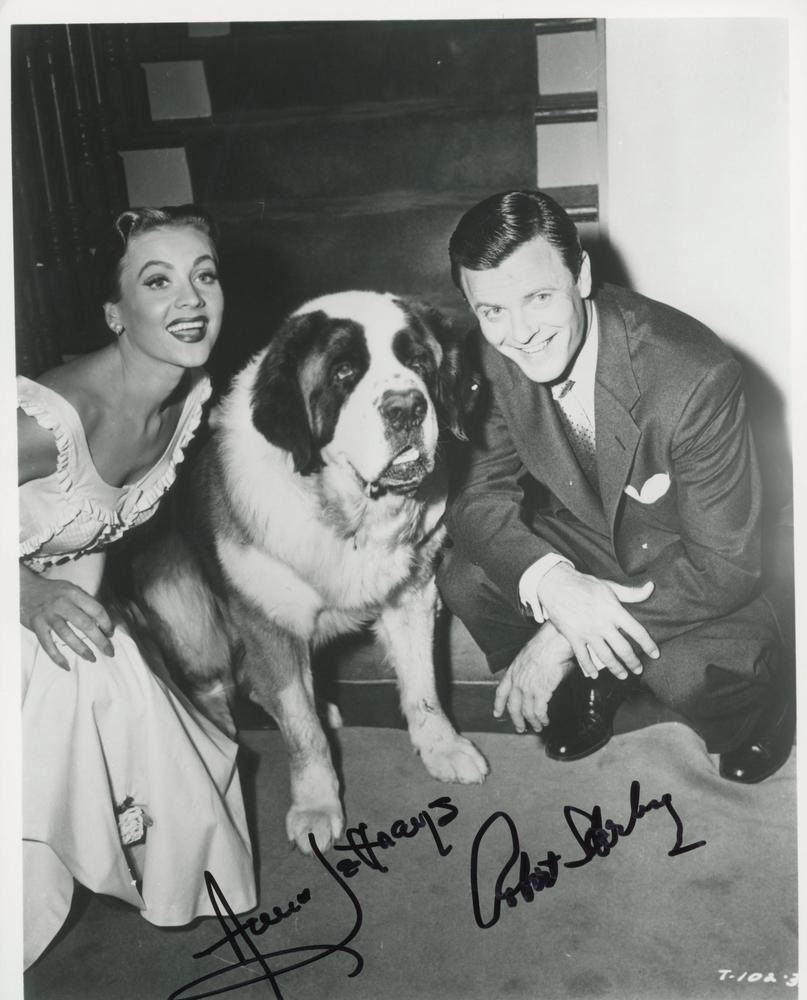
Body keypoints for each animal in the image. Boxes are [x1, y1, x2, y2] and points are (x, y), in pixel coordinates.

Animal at [132, 291, 489, 854]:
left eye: (419, 364)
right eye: (344, 373)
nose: (407, 407)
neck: (348, 515)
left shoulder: (412, 595)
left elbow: (424, 685)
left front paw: (442, 747)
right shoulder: (269, 625)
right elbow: (302, 729)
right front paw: (317, 807)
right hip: (182, 603)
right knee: (216, 687)